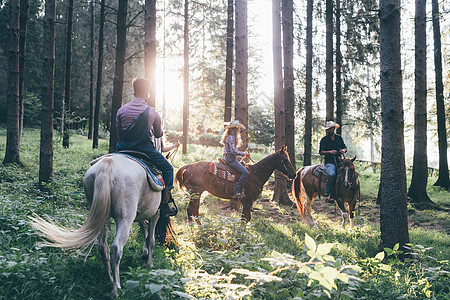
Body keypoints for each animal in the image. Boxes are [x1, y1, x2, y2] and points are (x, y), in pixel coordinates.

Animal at [28, 155, 172, 298]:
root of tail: (108, 164)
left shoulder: (142, 213)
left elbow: (145, 228)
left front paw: (145, 253)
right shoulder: (155, 213)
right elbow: (151, 239)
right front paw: (149, 264)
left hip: (101, 217)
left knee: (103, 247)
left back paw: (110, 280)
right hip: (125, 218)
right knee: (116, 248)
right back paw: (116, 288)